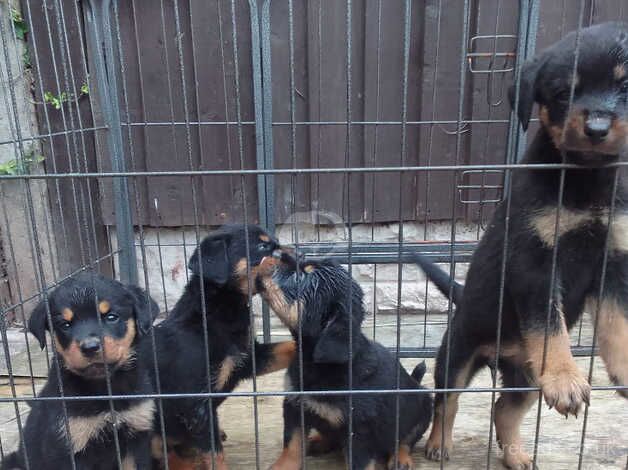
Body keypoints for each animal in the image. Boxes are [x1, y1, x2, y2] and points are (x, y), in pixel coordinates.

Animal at [3, 274, 159, 470]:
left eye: (111, 317)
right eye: (65, 324)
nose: (90, 347)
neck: (103, 389)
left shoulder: (137, 437)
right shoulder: (68, 446)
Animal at [146, 225, 296, 470]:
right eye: (262, 246)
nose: (300, 255)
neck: (217, 311)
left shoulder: (247, 359)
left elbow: (287, 346)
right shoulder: (196, 405)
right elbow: (215, 455)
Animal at [420, 20, 628, 468]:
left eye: (627, 87)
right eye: (563, 92)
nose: (597, 129)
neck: (584, 181)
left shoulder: (615, 261)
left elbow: (617, 320)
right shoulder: (535, 264)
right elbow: (549, 324)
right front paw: (567, 379)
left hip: (527, 379)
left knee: (504, 408)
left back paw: (515, 453)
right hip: (457, 354)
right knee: (447, 402)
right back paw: (438, 444)